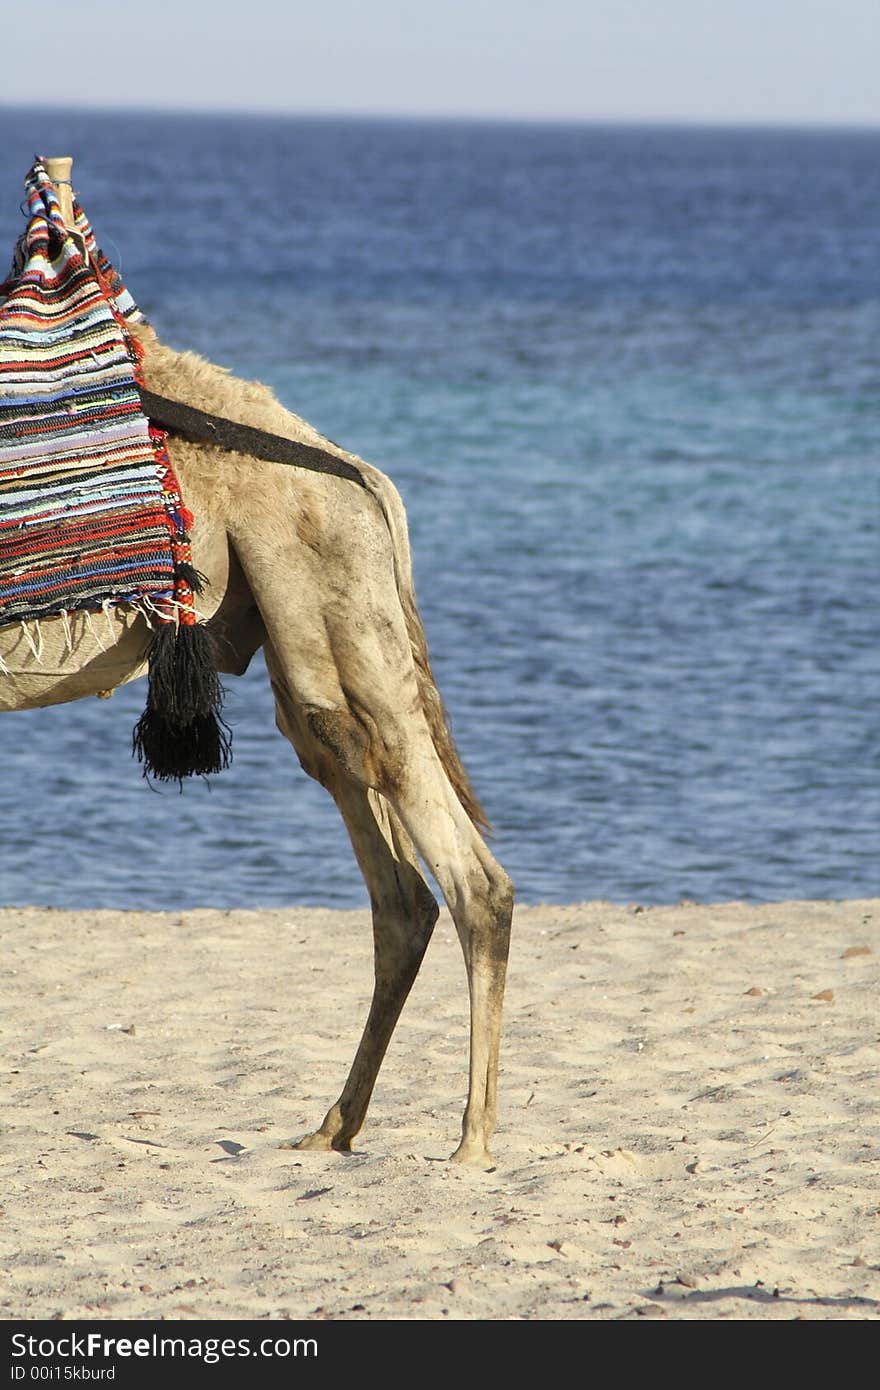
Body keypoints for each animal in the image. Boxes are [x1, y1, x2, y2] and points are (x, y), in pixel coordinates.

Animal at [0, 319, 514, 1167]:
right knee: (399, 890)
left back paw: (471, 1144)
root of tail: (367, 482)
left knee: (469, 878)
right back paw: (334, 1126)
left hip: (332, 608)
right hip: (304, 644)